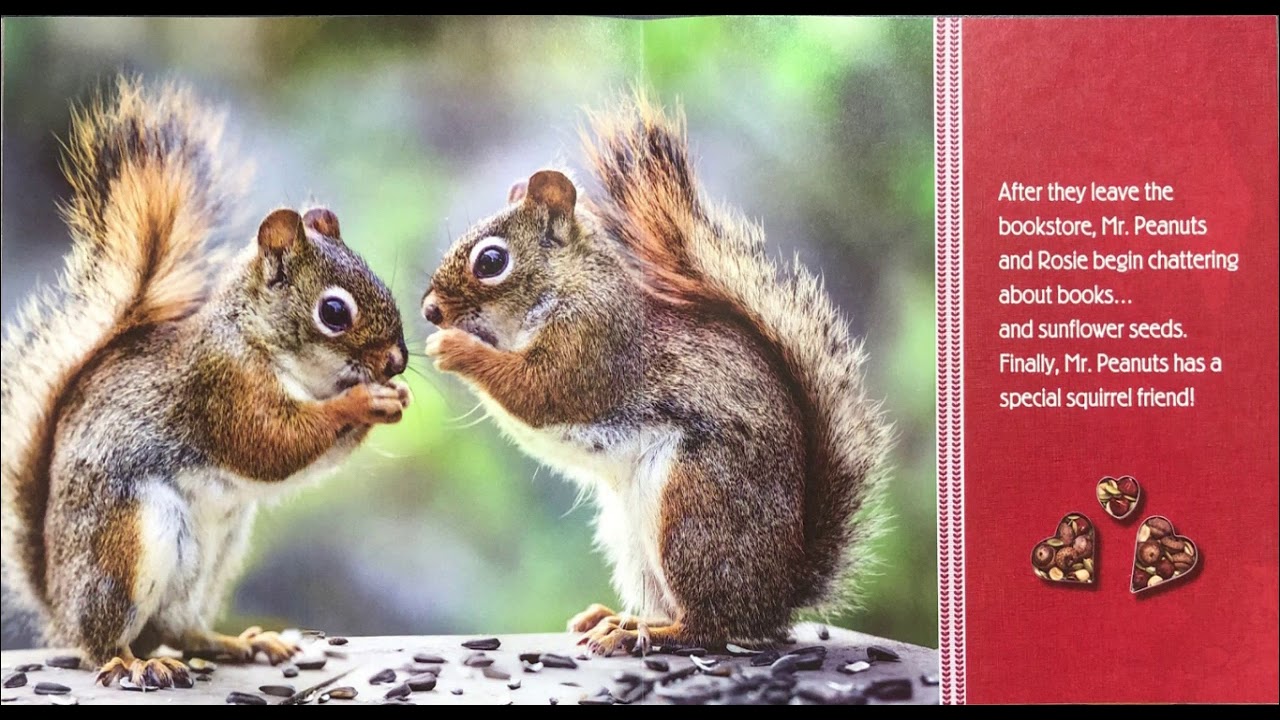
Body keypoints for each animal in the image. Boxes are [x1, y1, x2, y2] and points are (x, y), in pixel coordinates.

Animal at [0, 77, 411, 688]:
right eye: (334, 312)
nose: (398, 362)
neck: (261, 341)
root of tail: (59, 604)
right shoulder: (220, 387)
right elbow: (271, 443)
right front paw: (362, 401)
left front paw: (392, 400)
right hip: (126, 545)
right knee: (104, 641)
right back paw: (131, 662)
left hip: (212, 558)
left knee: (180, 629)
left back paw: (242, 642)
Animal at [421, 93, 892, 654]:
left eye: (491, 260)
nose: (429, 311)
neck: (568, 285)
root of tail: (776, 598)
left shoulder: (594, 345)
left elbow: (539, 391)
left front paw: (454, 348)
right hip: (631, 538)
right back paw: (614, 619)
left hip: (692, 510)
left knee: (709, 625)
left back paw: (637, 634)